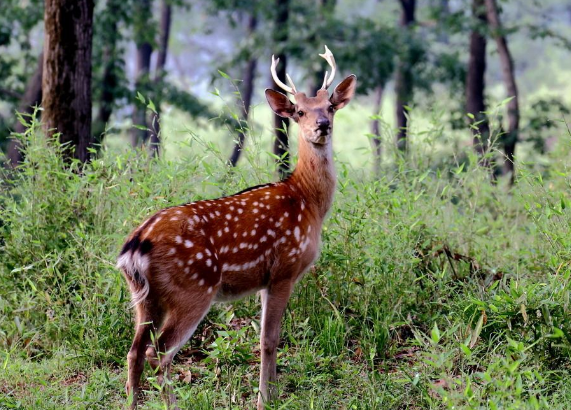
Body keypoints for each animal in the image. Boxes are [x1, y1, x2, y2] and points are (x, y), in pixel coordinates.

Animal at [118, 45, 356, 410]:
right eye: (299, 111)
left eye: (329, 105)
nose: (323, 126)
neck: (307, 201)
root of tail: (135, 245)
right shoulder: (284, 269)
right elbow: (270, 339)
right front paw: (264, 400)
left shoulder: (264, 280)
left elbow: (264, 337)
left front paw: (271, 394)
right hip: (193, 288)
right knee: (159, 353)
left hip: (143, 296)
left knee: (133, 352)